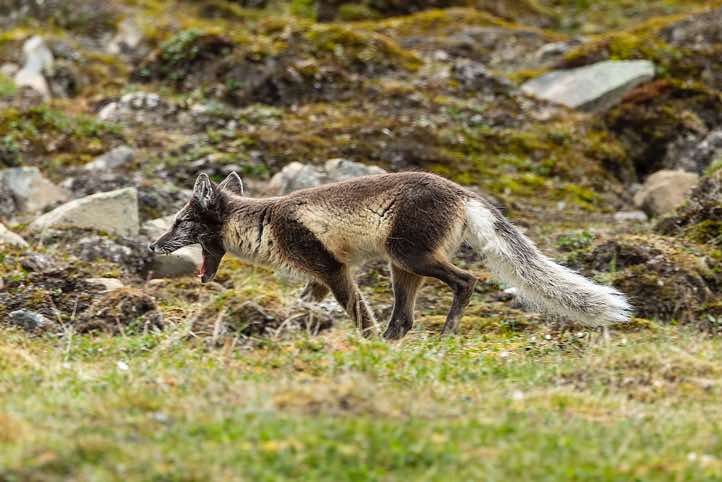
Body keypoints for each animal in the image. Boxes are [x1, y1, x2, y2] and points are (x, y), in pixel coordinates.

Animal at [149, 170, 631, 339]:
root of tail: (464, 192)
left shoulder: (332, 267)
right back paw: (393, 345)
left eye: (179, 222)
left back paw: (445, 335)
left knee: (467, 281)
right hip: (403, 268)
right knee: (404, 318)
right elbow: (308, 303)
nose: (152, 246)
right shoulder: (318, 276)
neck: (264, 221)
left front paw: (361, 340)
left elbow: (358, 311)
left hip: (412, 257)